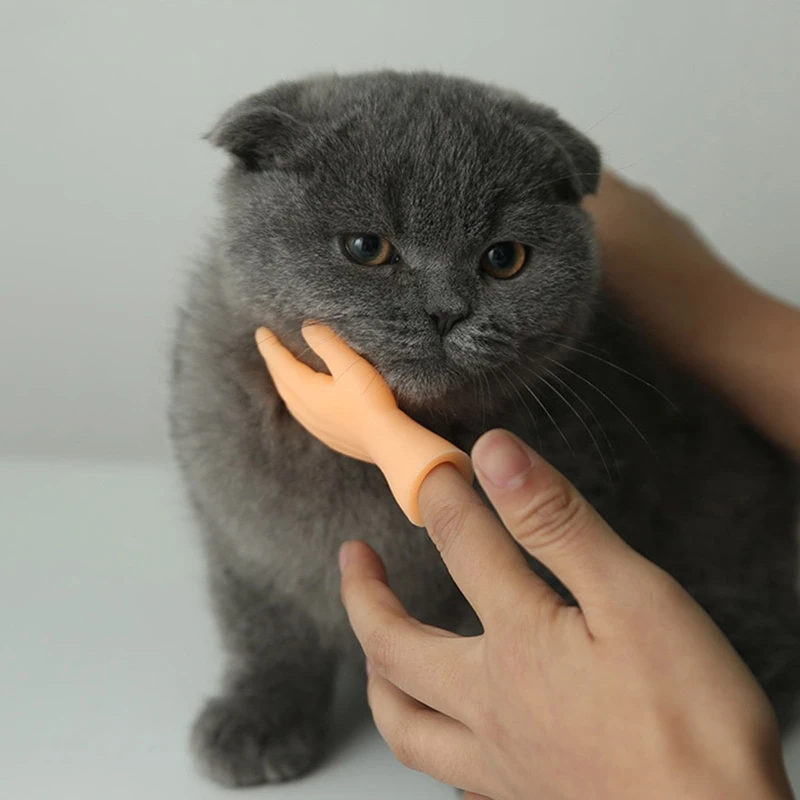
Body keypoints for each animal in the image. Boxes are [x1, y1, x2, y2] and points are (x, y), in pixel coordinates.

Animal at [170, 72, 800, 784]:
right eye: (366, 248)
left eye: (504, 258)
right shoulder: (240, 541)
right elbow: (264, 631)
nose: (446, 311)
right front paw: (258, 720)